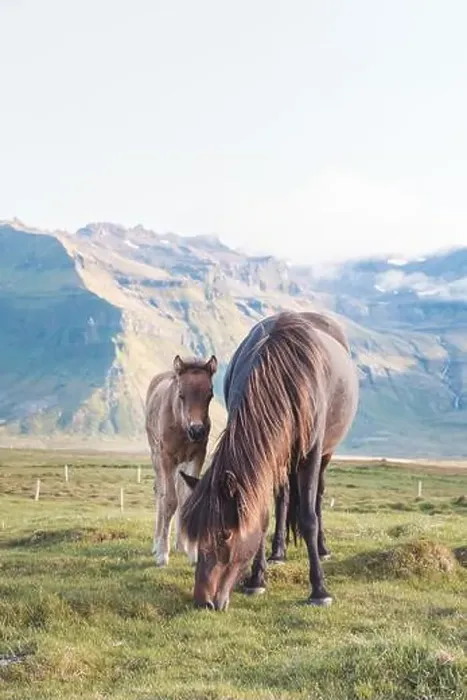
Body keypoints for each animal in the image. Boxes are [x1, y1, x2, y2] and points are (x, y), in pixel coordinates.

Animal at [145, 353, 217, 567]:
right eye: (181, 394)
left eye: (210, 394)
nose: (197, 430)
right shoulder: (167, 457)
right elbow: (169, 500)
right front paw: (162, 555)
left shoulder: (197, 455)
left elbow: (187, 498)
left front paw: (193, 553)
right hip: (156, 455)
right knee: (160, 491)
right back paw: (157, 544)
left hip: (181, 462)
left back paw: (180, 544)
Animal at [179, 310, 359, 610]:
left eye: (225, 534)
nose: (204, 602)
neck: (284, 376)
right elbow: (262, 517)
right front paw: (256, 580)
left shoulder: (311, 454)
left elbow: (308, 517)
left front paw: (319, 590)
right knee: (283, 497)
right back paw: (278, 552)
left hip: (324, 454)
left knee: (318, 498)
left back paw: (322, 549)